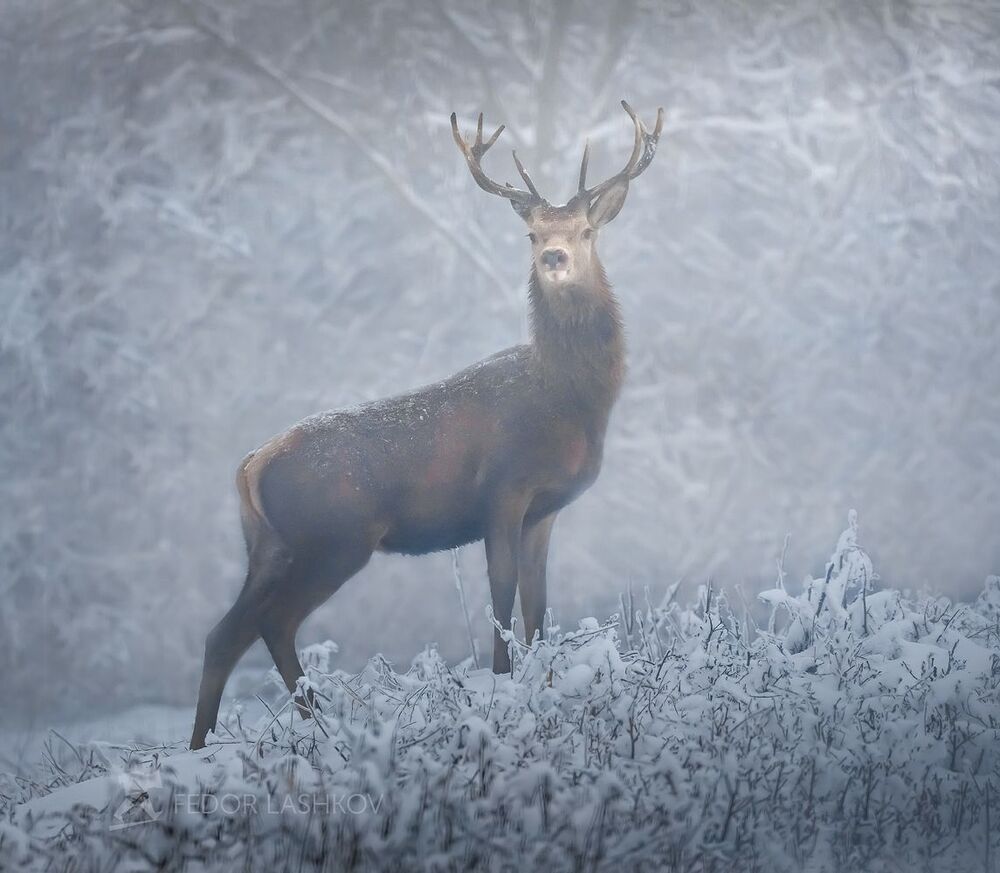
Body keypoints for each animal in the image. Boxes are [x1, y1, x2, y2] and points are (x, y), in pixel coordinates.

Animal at [190, 100, 663, 750]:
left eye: (585, 231)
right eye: (532, 233)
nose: (554, 257)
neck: (567, 401)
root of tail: (250, 465)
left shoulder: (545, 509)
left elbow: (538, 606)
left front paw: (542, 682)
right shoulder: (502, 491)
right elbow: (501, 595)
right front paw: (503, 686)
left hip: (268, 544)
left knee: (228, 631)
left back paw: (241, 739)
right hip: (332, 536)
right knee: (270, 622)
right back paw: (309, 729)